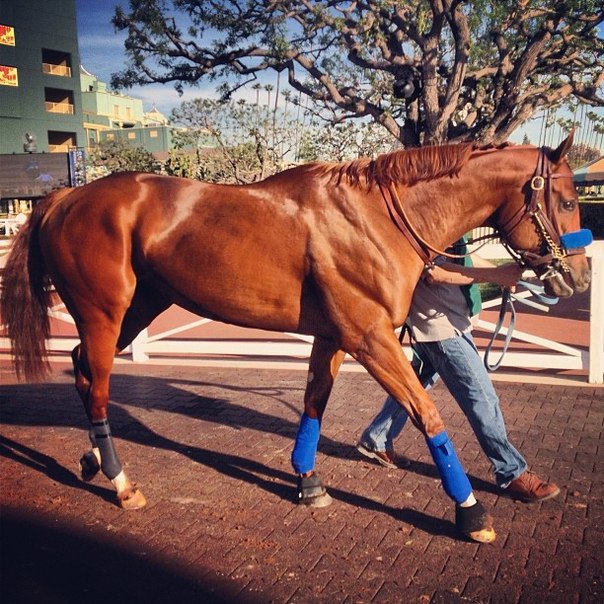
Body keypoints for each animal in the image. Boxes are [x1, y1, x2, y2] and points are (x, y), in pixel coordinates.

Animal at [2, 134, 592, 544]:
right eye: (566, 201)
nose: (580, 278)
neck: (377, 219)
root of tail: (63, 198)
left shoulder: (334, 336)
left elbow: (313, 405)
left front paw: (307, 483)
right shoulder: (370, 337)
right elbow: (428, 414)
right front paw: (470, 512)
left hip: (137, 308)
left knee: (82, 370)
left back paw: (92, 461)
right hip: (105, 312)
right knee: (98, 384)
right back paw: (123, 485)